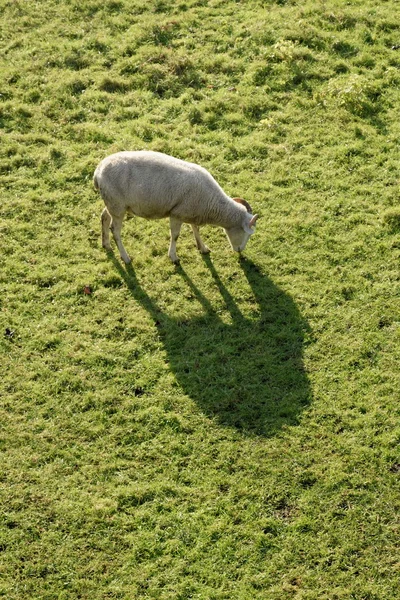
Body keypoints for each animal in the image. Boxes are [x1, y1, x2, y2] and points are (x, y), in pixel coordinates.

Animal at [93, 150, 260, 262]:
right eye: (247, 234)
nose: (240, 251)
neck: (211, 204)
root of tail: (98, 171)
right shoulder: (176, 214)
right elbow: (175, 235)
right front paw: (173, 256)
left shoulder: (192, 211)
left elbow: (195, 229)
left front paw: (202, 247)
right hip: (117, 205)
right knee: (115, 230)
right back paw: (125, 257)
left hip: (114, 204)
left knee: (104, 217)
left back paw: (106, 244)